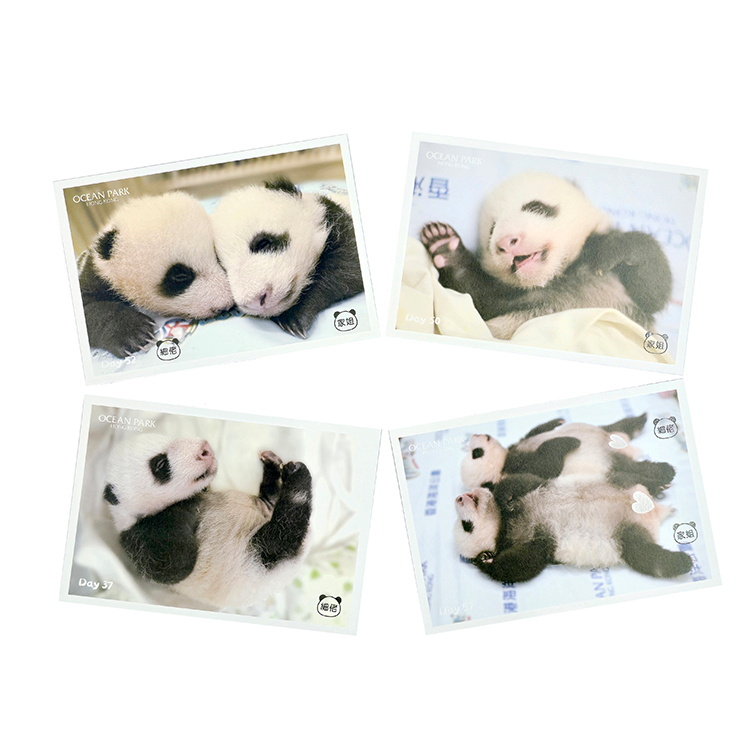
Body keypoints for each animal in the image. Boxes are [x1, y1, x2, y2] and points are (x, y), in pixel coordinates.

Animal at [77, 192, 234, 358]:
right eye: (180, 276)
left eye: (217, 256)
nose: (225, 305)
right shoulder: (96, 275)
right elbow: (90, 310)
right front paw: (135, 333)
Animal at [102, 434, 313, 609]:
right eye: (161, 464)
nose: (205, 449)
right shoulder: (138, 537)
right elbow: (172, 566)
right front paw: (187, 504)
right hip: (255, 560)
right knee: (282, 533)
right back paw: (297, 479)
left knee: (273, 501)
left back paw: (272, 466)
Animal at [211, 178, 365, 338]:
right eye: (224, 269)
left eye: (263, 243)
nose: (255, 301)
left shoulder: (340, 225)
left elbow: (346, 268)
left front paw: (294, 316)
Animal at [420, 172, 672, 339]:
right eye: (492, 230)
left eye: (536, 207)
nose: (506, 242)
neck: (557, 276)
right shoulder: (510, 301)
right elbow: (479, 301)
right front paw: (446, 247)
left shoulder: (619, 288)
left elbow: (654, 290)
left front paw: (613, 248)